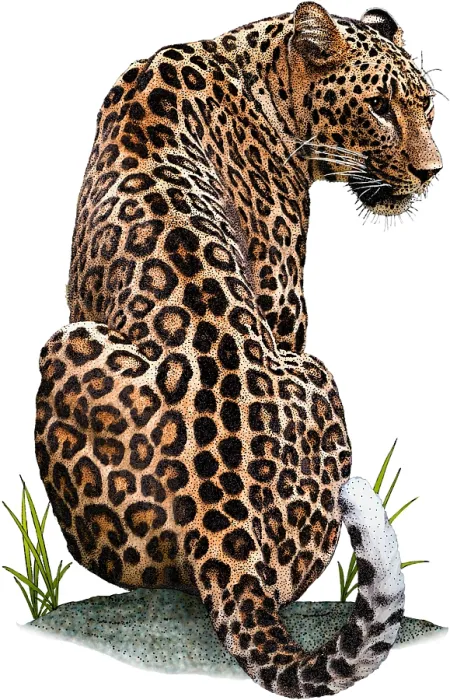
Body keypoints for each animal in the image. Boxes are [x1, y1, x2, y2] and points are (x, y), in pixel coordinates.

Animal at [35, 3, 442, 697]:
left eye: (427, 107)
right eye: (380, 108)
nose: (431, 171)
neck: (254, 62)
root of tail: (220, 523)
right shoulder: (282, 308)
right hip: (304, 365)